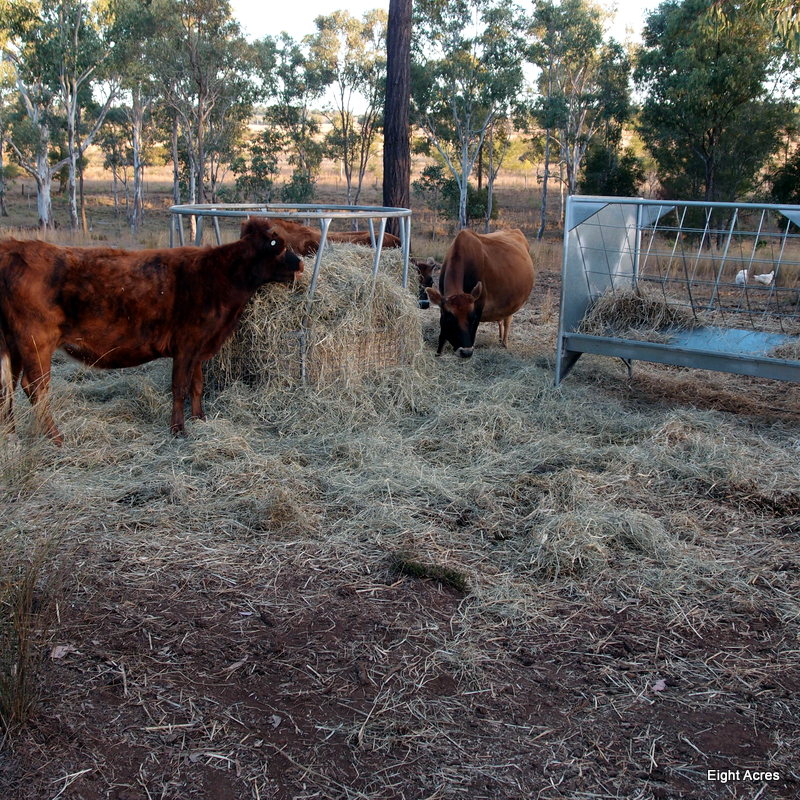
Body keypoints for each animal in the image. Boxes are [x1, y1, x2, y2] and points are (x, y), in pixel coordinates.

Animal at [0, 218, 303, 444]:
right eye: (279, 246)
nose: (300, 263)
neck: (219, 277)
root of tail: (13, 248)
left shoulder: (198, 347)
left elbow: (197, 385)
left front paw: (200, 418)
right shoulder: (186, 344)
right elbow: (179, 387)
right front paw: (178, 429)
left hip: (12, 345)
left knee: (10, 387)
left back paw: (11, 436)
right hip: (36, 342)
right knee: (36, 387)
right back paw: (55, 438)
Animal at [426, 228, 534, 358]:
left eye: (473, 318)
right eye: (450, 318)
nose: (466, 352)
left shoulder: (479, 305)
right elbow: (442, 335)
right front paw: (438, 353)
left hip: (513, 303)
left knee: (507, 320)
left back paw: (504, 343)